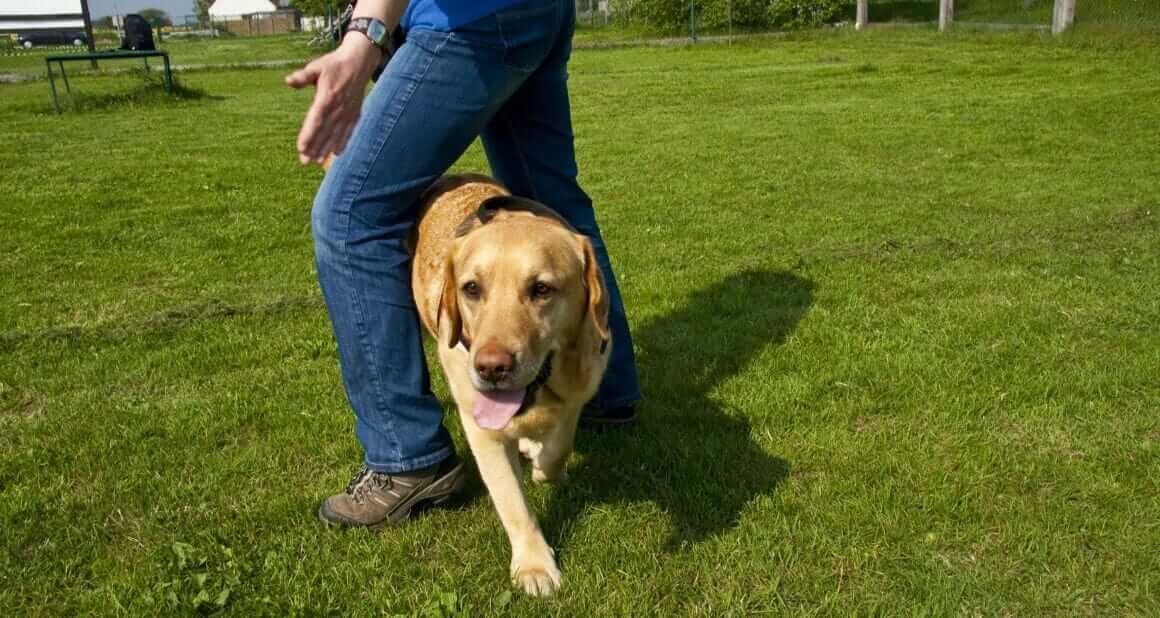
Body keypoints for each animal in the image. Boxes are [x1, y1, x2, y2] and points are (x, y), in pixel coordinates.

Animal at [410, 172, 607, 593]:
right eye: (471, 288)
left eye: (542, 289)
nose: (491, 368)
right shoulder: (482, 430)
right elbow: (512, 502)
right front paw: (534, 565)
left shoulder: (579, 391)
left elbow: (559, 448)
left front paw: (544, 467)